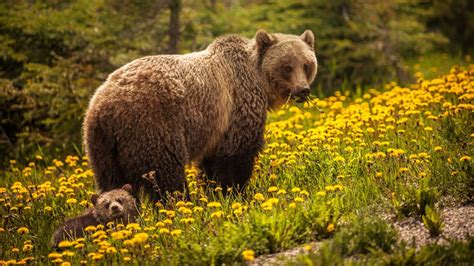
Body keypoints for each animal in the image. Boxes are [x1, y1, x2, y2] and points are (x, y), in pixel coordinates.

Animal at [83, 30, 316, 201]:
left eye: (307, 64)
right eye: (287, 66)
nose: (303, 90)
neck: (258, 81)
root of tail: (103, 106)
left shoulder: (216, 127)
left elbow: (211, 163)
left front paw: (215, 192)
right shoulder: (237, 108)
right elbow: (237, 156)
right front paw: (235, 193)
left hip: (103, 146)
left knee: (111, 181)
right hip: (151, 126)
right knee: (165, 173)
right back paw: (180, 203)